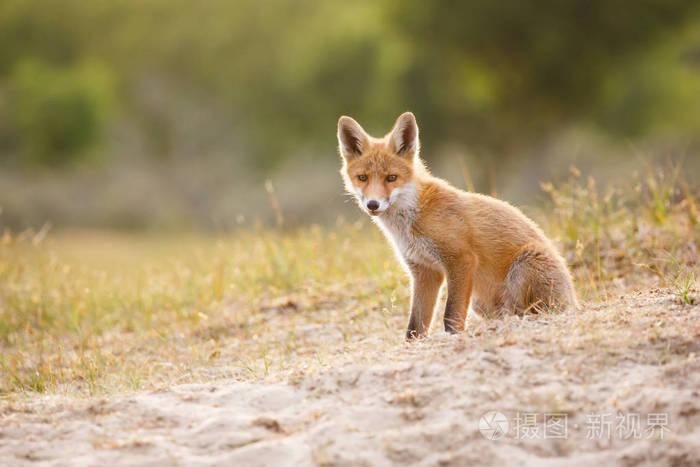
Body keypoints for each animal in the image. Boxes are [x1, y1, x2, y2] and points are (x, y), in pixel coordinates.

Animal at [338, 113, 576, 340]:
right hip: (480, 301)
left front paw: (453, 336)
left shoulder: (461, 259)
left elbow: (451, 314)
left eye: (391, 178)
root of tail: (573, 299)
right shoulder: (424, 270)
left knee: (530, 311)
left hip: (524, 265)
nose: (373, 204)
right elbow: (415, 324)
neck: (411, 220)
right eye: (362, 178)